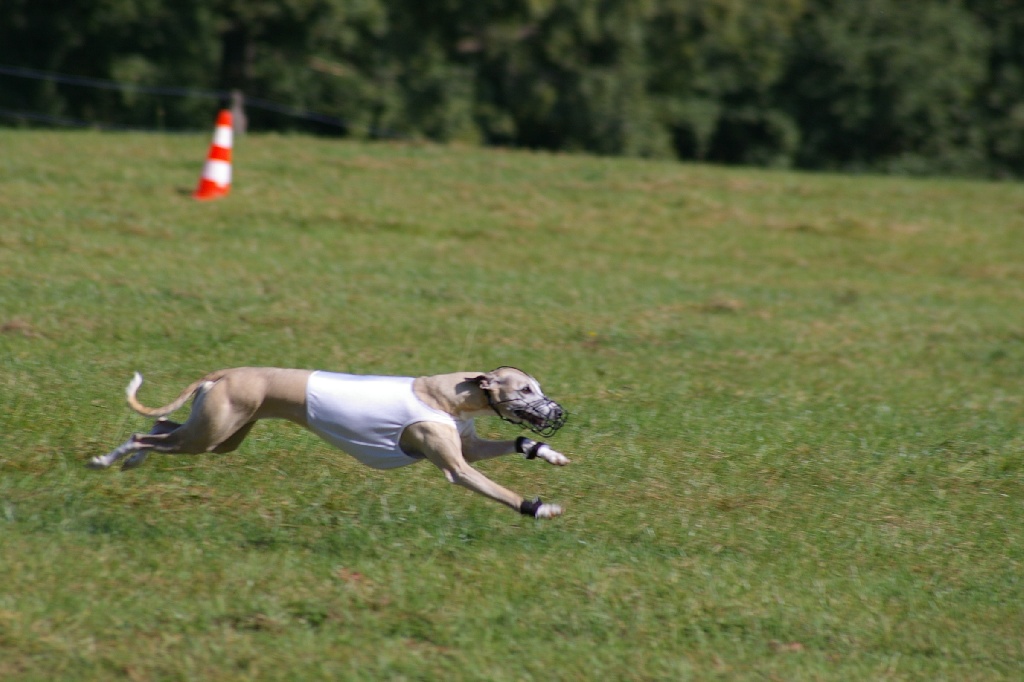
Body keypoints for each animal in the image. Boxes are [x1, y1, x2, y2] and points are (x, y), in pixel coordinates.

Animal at [92, 366, 573, 516]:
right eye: (525, 389)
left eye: (537, 386)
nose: (556, 413)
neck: (449, 397)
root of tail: (224, 373)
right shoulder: (456, 466)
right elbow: (498, 490)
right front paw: (540, 508)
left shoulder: (468, 445)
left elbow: (513, 443)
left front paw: (547, 452)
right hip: (211, 432)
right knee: (142, 434)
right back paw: (107, 459)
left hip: (220, 435)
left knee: (160, 427)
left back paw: (131, 461)